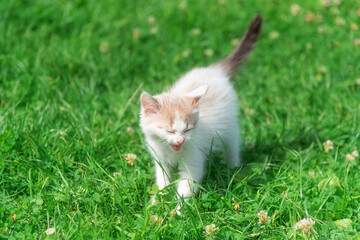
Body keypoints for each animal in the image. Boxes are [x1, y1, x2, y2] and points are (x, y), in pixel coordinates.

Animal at [139, 15, 262, 201]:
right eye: (170, 131)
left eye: (188, 129)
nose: (181, 140)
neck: (172, 150)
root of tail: (214, 70)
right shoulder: (160, 159)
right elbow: (162, 183)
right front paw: (156, 203)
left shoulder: (193, 160)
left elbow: (186, 188)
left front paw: (178, 208)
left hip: (229, 124)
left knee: (232, 142)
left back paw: (232, 166)